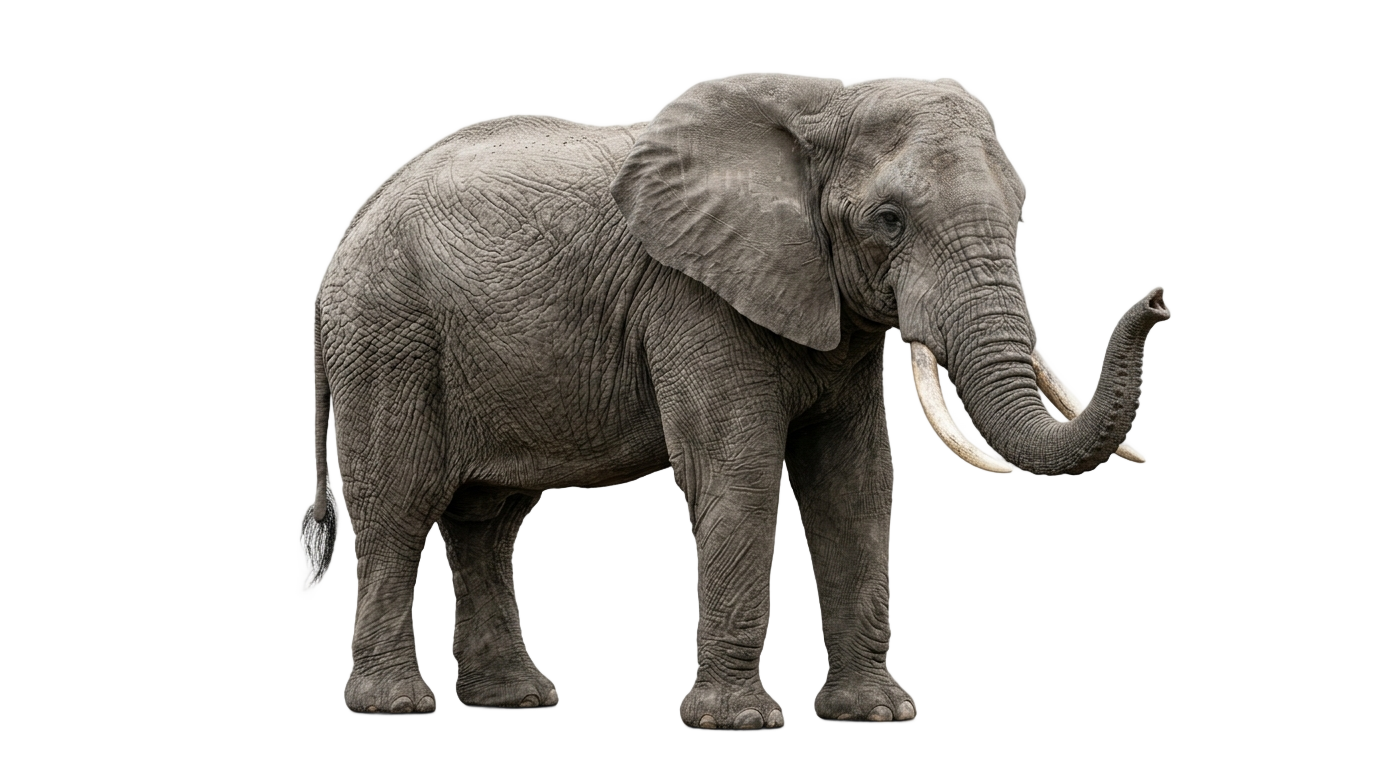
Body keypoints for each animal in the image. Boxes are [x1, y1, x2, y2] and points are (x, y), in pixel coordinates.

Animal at [299, 73, 1169, 728]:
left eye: (1021, 217)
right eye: (890, 220)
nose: (1160, 302)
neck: (826, 104)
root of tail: (343, 245)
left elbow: (854, 486)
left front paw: (876, 716)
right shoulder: (693, 298)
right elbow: (739, 476)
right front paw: (740, 725)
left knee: (487, 519)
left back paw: (515, 702)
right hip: (387, 336)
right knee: (398, 505)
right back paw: (396, 709)